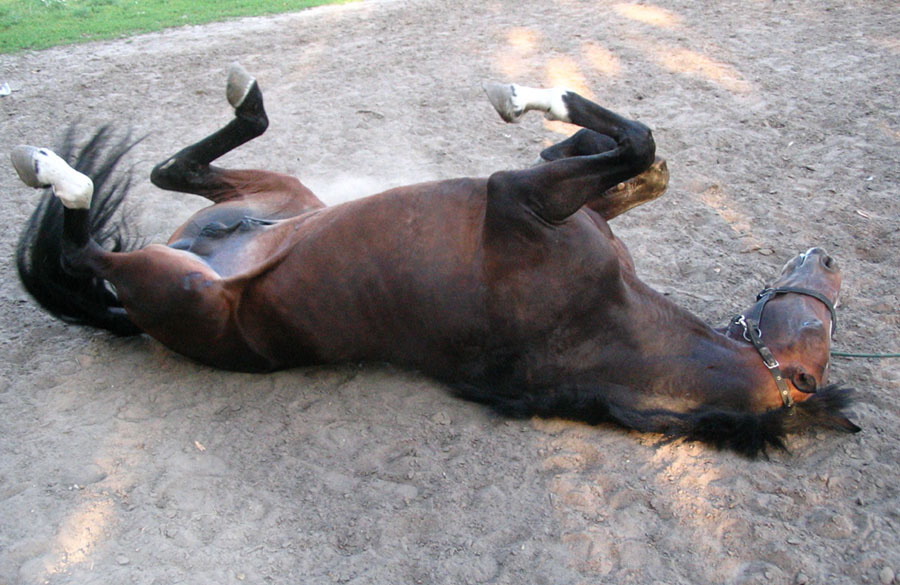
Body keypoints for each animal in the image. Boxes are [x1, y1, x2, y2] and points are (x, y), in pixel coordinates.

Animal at [12, 64, 859, 457]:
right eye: (823, 319)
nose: (827, 257)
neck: (603, 322)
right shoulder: (555, 192)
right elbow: (646, 159)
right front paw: (536, 101)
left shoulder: (520, 195)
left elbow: (639, 142)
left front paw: (522, 96)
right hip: (277, 195)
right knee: (172, 172)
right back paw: (236, 96)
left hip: (180, 286)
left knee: (92, 243)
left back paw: (55, 170)